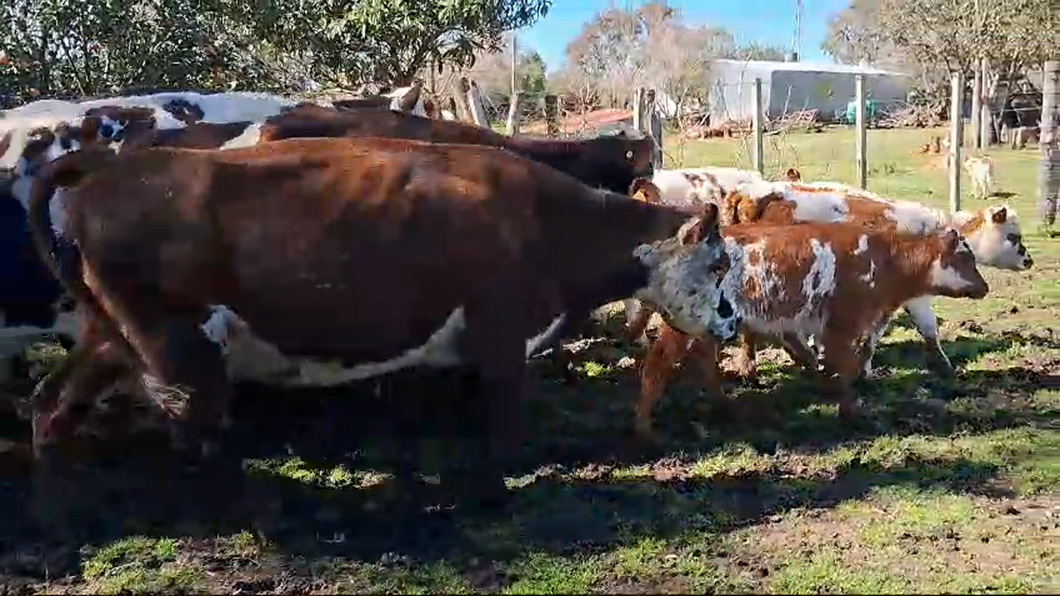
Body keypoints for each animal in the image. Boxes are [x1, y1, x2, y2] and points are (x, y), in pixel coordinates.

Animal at [26, 135, 737, 504]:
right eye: (719, 263)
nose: (731, 326)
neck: (549, 223)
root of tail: (112, 165)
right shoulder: (501, 335)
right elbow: (505, 421)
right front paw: (503, 480)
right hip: (178, 350)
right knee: (189, 426)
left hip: (113, 336)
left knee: (51, 401)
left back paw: (61, 477)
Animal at [631, 220, 987, 439]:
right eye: (965, 259)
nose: (985, 287)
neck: (885, 261)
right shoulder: (840, 325)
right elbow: (841, 369)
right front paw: (850, 413)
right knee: (658, 364)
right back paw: (645, 429)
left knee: (703, 362)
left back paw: (726, 408)